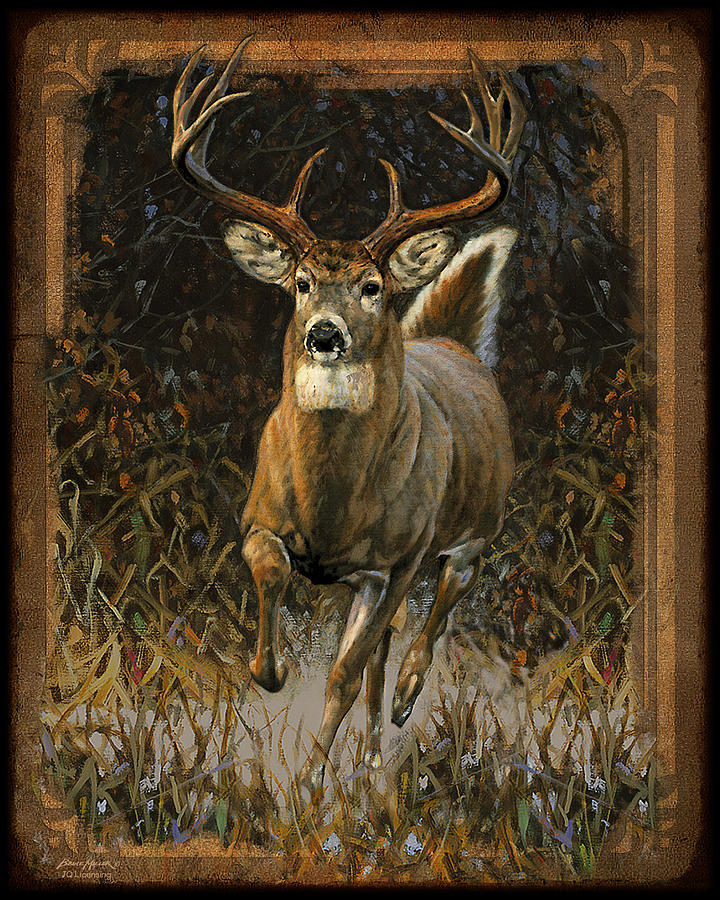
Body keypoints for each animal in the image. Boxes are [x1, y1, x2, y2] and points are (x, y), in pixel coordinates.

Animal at [171, 36, 525, 798]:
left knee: (439, 605)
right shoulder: (260, 519)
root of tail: (453, 343)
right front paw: (271, 673)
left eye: (371, 286)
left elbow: (342, 673)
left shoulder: (398, 560)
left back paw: (403, 706)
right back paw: (368, 757)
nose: (325, 333)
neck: (332, 504)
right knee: (383, 651)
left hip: (474, 528)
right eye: (301, 282)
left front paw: (308, 783)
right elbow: (274, 580)